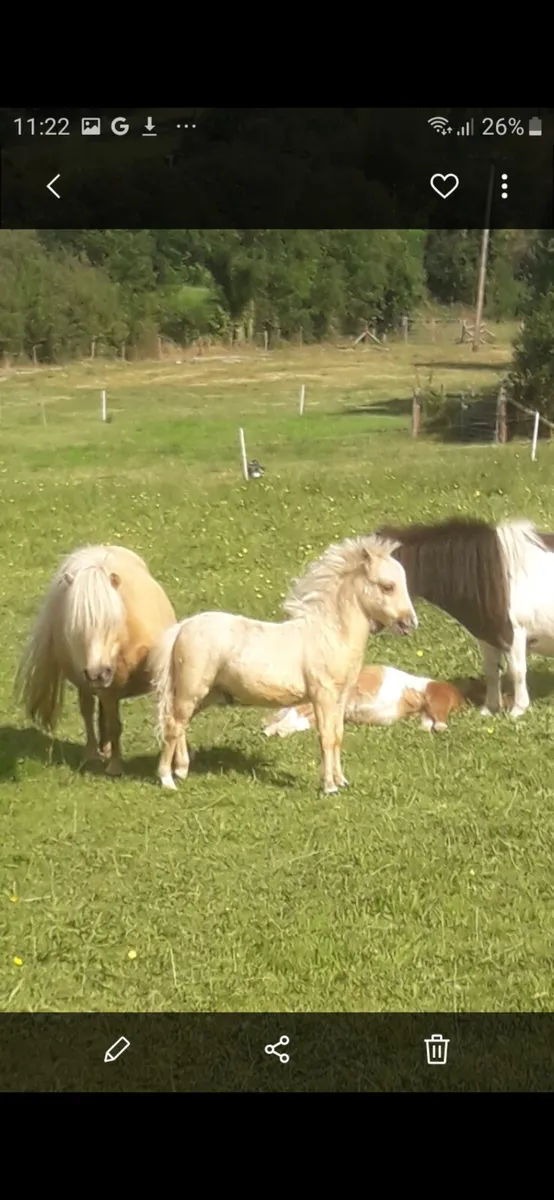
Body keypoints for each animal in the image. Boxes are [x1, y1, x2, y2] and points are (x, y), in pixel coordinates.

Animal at [15, 544, 177, 776]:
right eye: (75, 629)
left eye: (112, 622)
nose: (96, 674)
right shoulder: (106, 688)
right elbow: (114, 725)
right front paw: (115, 766)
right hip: (87, 685)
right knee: (89, 711)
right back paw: (94, 752)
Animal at [149, 534, 418, 795]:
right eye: (387, 586)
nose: (410, 623)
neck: (330, 634)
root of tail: (183, 627)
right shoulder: (323, 696)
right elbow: (326, 737)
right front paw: (329, 787)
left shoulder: (341, 698)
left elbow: (338, 735)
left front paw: (341, 781)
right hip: (191, 690)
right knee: (173, 725)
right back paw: (167, 780)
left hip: (206, 695)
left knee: (180, 724)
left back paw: (182, 770)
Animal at [376, 516, 554, 719]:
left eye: (386, 584)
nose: (404, 624)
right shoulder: (488, 636)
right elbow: (492, 671)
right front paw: (489, 709)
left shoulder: (514, 633)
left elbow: (516, 671)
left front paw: (518, 710)